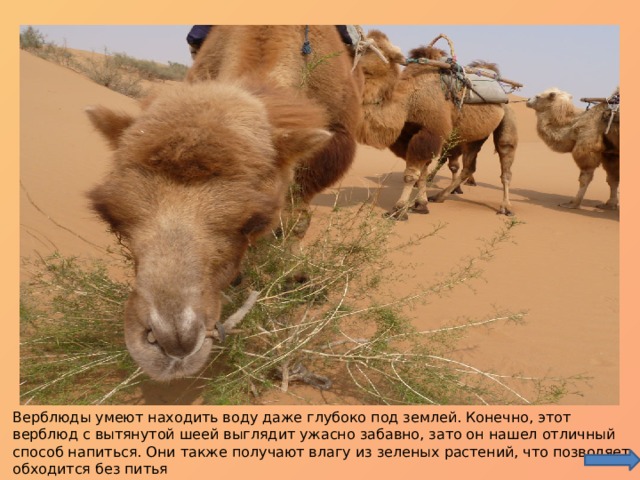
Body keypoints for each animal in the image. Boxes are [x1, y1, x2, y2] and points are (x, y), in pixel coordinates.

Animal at [357, 31, 518, 218]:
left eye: (372, 48)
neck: (407, 101)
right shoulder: (409, 135)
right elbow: (422, 173)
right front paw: (421, 204)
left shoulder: (430, 132)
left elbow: (411, 175)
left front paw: (399, 209)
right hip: (475, 136)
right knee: (469, 167)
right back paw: (440, 196)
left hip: (507, 118)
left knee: (505, 160)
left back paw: (506, 207)